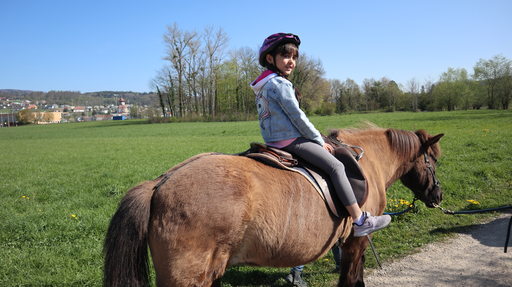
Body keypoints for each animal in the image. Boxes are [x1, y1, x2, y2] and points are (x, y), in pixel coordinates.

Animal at [104, 126, 444, 287]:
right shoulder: (356, 242)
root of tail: (160, 182)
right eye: (434, 160)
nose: (438, 196)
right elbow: (351, 278)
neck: (368, 161)